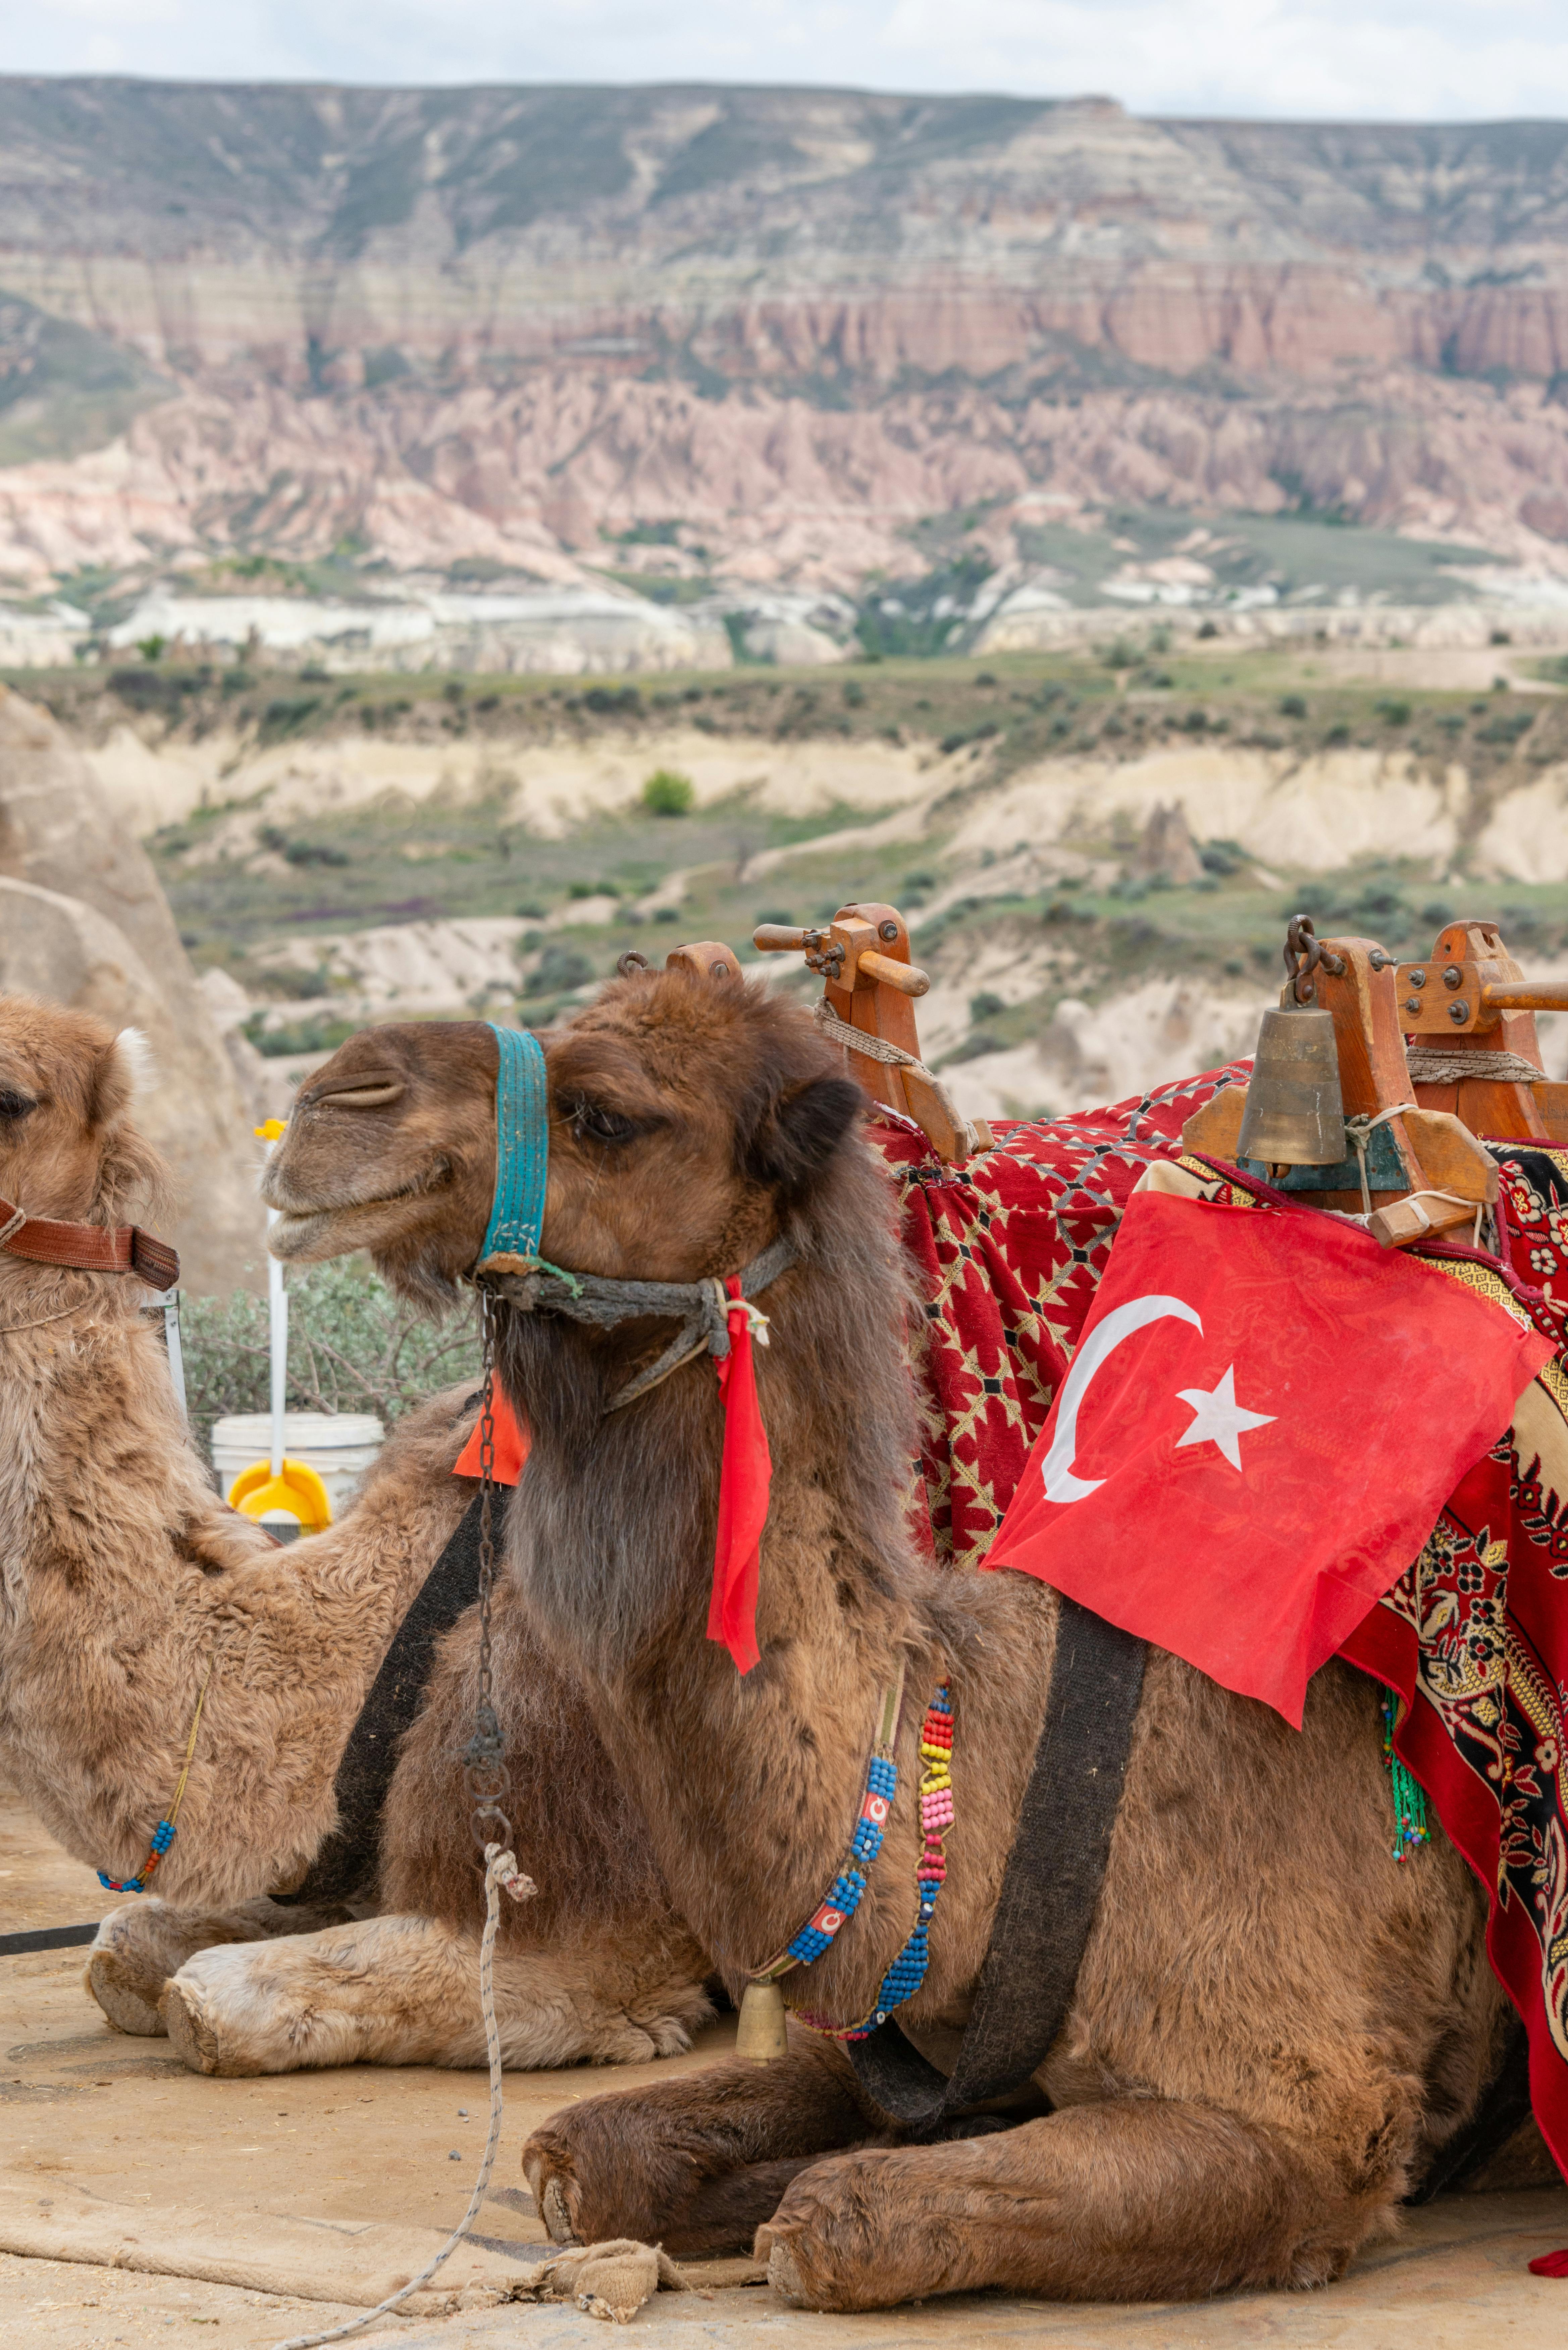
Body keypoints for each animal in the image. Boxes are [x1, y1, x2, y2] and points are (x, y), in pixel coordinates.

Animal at [261, 967, 1559, 2311]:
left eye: (606, 1112)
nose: (331, 1103)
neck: (1005, 1767)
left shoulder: (1308, 2115)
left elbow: (833, 2221)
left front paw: (797, 2207)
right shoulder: (896, 2041)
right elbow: (584, 2155)